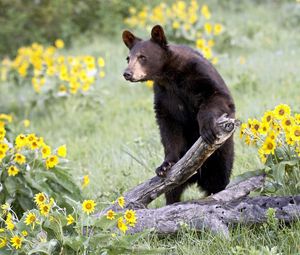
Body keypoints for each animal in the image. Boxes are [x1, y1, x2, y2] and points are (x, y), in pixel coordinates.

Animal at [122, 24, 234, 204]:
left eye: (142, 57)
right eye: (128, 58)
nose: (127, 73)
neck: (169, 76)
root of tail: (197, 178)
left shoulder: (199, 73)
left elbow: (218, 96)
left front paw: (206, 129)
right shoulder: (164, 95)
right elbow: (169, 127)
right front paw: (165, 165)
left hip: (221, 156)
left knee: (219, 179)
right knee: (172, 190)